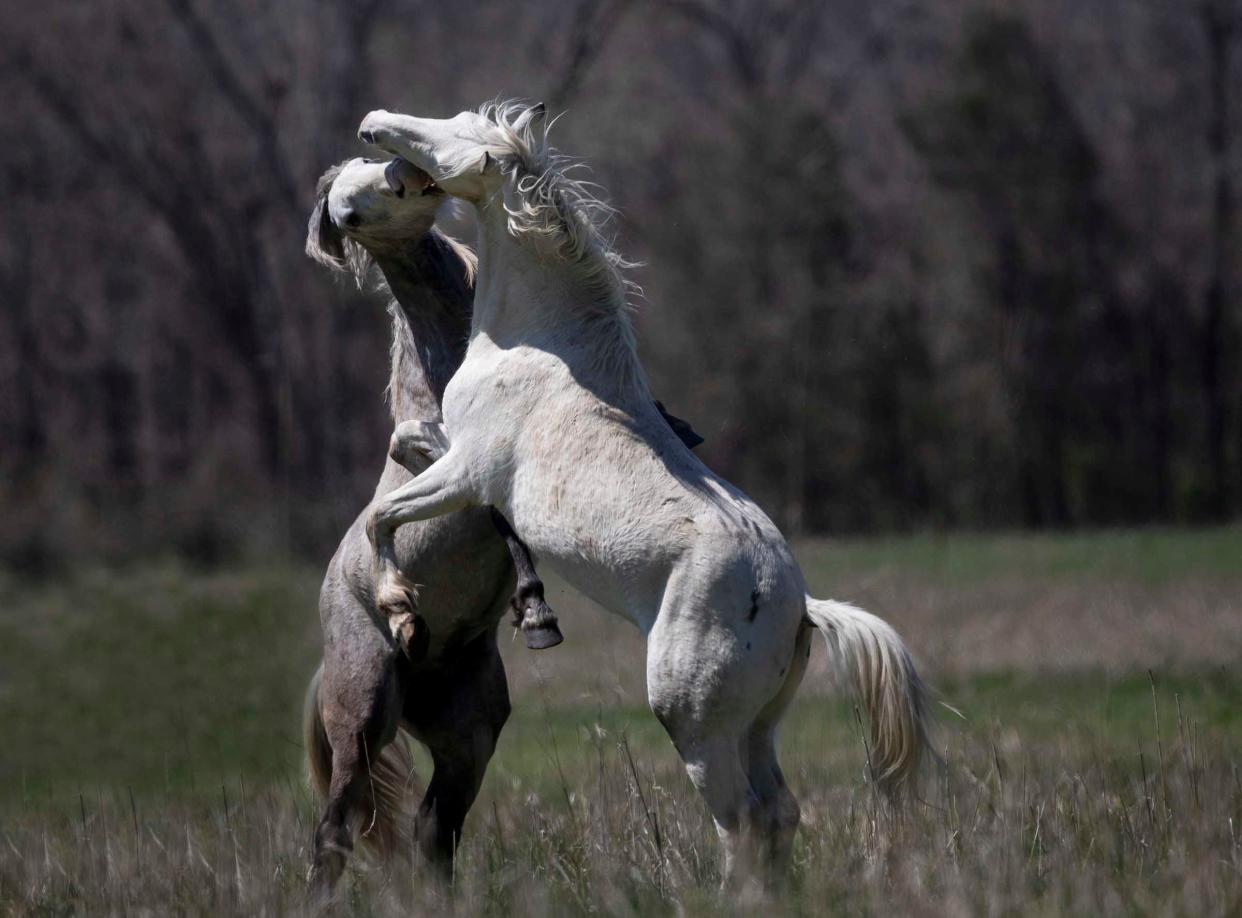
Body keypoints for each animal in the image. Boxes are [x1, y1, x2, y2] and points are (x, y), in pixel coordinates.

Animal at [355, 100, 929, 884]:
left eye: (455, 142)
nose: (374, 125)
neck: (540, 346)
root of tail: (802, 608)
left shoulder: (469, 473)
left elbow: (385, 514)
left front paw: (402, 612)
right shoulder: (457, 460)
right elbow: (406, 447)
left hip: (692, 720)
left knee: (743, 820)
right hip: (757, 724)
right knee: (779, 813)